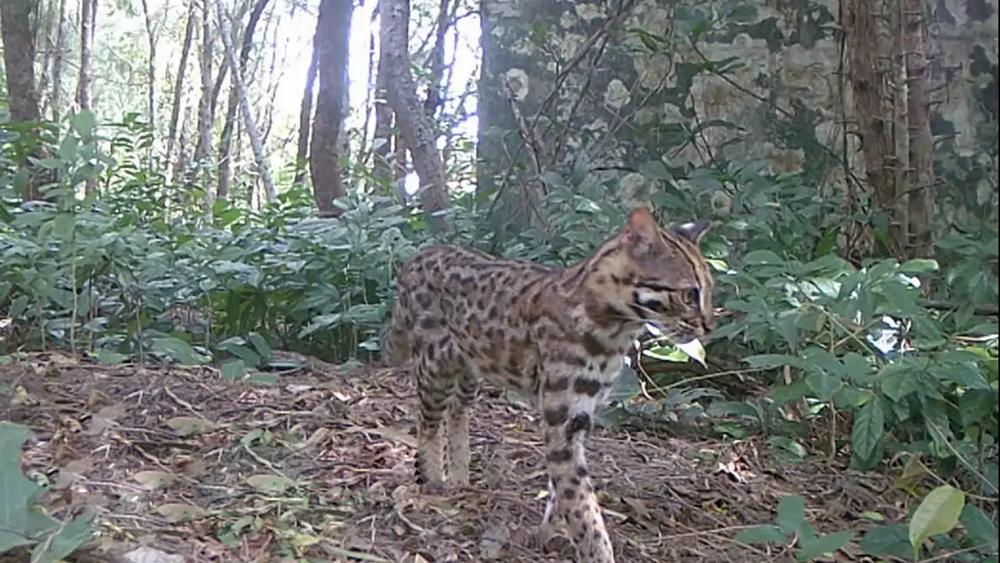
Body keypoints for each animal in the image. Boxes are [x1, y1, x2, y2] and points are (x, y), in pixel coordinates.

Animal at [378, 208, 716, 563]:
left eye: (709, 290)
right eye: (689, 294)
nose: (710, 325)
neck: (614, 331)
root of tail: (418, 256)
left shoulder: (582, 415)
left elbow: (563, 491)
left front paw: (548, 533)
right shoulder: (562, 418)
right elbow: (582, 505)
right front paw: (595, 551)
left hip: (472, 367)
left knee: (458, 410)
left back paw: (458, 474)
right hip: (434, 364)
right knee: (426, 418)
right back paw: (431, 479)